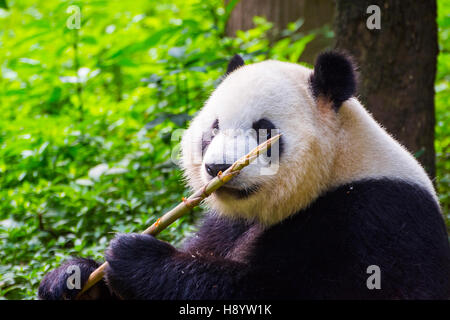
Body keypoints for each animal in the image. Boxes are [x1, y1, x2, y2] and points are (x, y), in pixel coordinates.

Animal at [39, 51, 450, 298]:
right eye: (213, 129)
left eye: (263, 129)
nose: (217, 168)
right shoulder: (225, 225)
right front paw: (73, 276)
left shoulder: (376, 218)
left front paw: (136, 258)